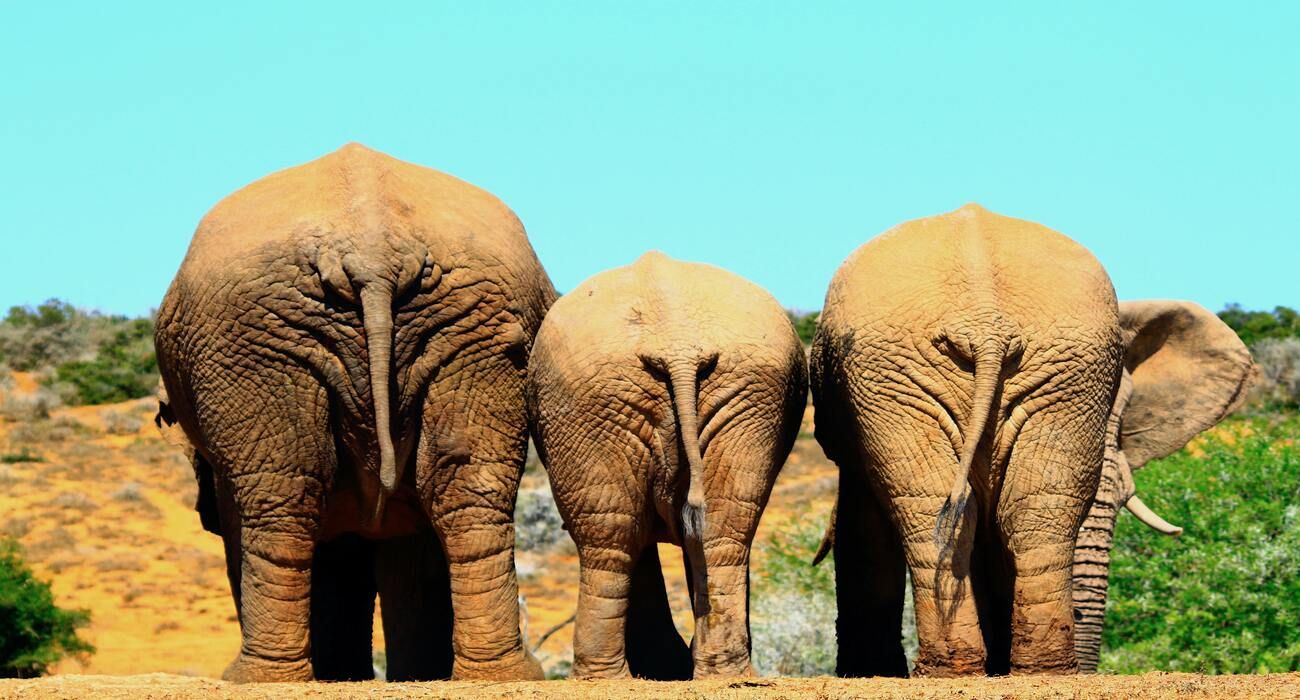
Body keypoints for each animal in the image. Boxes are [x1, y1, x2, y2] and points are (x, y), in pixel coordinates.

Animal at [152, 143, 553, 681]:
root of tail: (373, 250)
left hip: (250, 340)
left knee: (283, 498)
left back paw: (255, 678)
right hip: (472, 327)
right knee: (465, 491)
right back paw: (500, 675)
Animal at [522, 249, 806, 676]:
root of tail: (676, 339)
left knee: (611, 536)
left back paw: (602, 679)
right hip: (731, 393)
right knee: (717, 527)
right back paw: (724, 674)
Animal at [811, 202, 1248, 676]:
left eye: (1127, 407)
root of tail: (985, 321)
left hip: (1063, 367)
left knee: (1013, 509)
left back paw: (1001, 670)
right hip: (904, 372)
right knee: (976, 509)